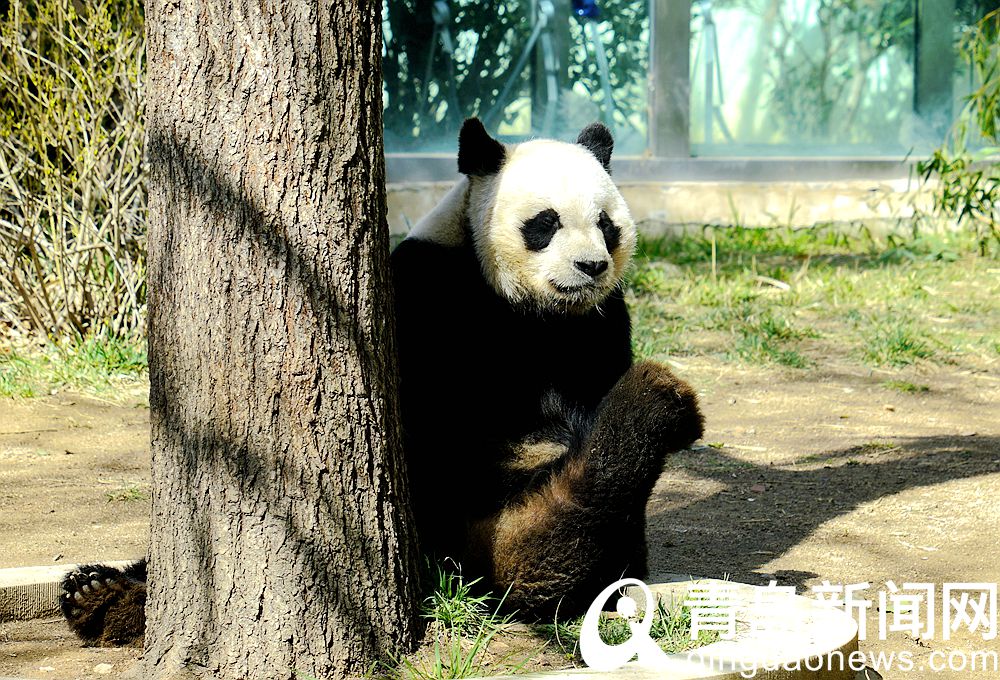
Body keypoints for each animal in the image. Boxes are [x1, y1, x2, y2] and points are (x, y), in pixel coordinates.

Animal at [60, 118, 704, 648]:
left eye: (606, 225)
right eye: (545, 224)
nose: (591, 266)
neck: (529, 311)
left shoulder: (595, 326)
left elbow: (582, 394)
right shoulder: (430, 287)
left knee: (578, 523)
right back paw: (100, 595)